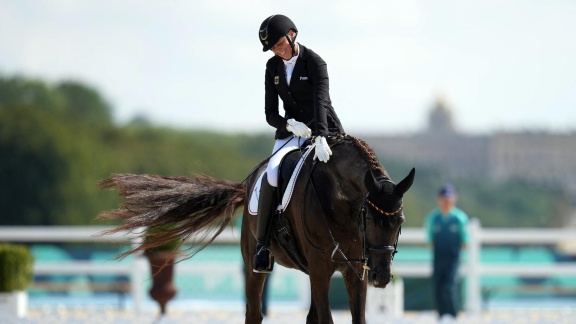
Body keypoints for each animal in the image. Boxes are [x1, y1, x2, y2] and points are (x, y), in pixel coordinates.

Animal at [98, 133, 414, 322]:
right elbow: (326, 319)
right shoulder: (322, 267)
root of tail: (249, 182)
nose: (381, 276)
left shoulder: (354, 270)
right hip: (254, 266)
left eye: (399, 222)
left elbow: (356, 317)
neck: (340, 202)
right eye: (369, 219)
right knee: (254, 312)